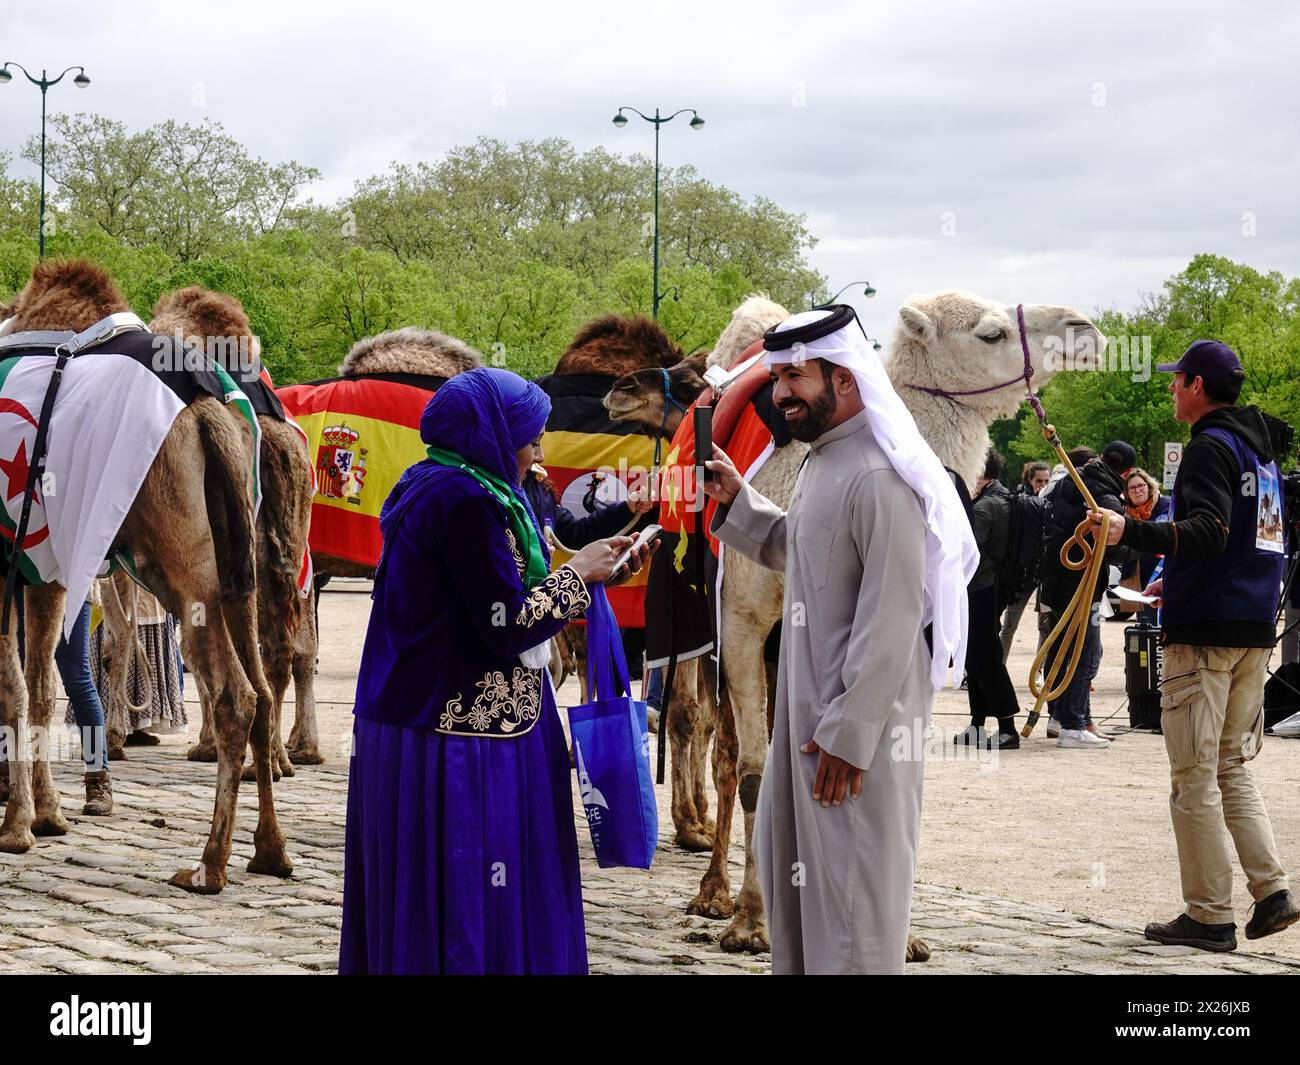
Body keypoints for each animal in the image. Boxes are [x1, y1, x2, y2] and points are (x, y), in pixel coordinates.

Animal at [0, 258, 287, 889]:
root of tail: (207, 410)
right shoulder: (45, 565)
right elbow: (39, 688)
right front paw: (45, 816)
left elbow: (14, 688)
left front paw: (16, 825)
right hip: (235, 570)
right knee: (259, 689)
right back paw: (269, 851)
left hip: (178, 566)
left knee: (234, 694)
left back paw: (208, 865)